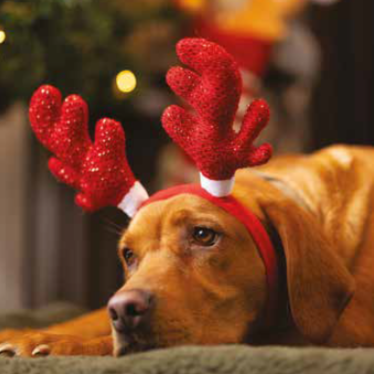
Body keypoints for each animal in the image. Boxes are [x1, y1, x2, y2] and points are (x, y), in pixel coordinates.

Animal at [0, 144, 374, 356]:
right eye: (128, 255)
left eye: (203, 235)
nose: (122, 310)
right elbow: (89, 317)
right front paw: (21, 332)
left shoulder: (346, 329)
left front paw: (61, 343)